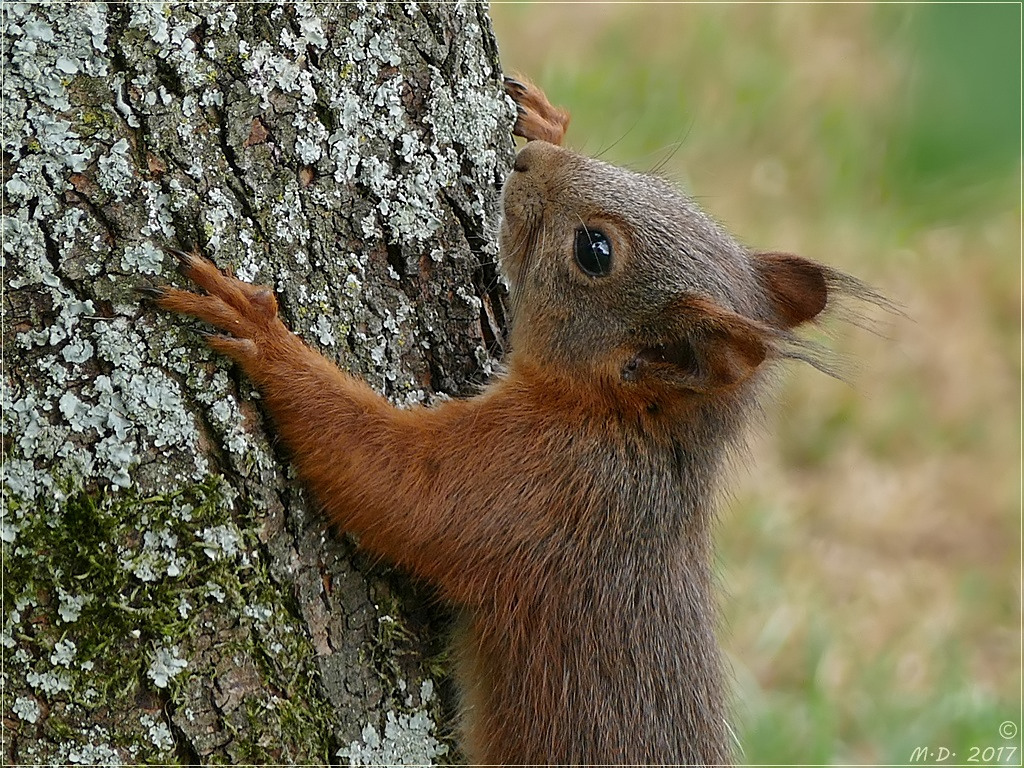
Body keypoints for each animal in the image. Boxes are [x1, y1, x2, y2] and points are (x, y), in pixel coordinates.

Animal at [155, 76, 884, 765]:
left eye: (594, 250)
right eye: (662, 186)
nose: (529, 161)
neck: (634, 426)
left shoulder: (539, 482)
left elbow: (397, 484)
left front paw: (264, 336)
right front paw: (546, 119)